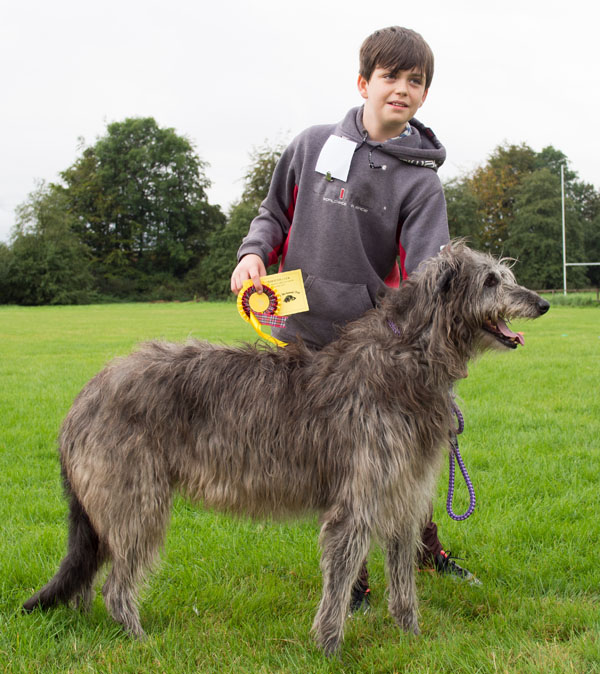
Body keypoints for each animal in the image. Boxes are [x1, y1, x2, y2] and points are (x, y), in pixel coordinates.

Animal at [22, 242, 548, 652]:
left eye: (505, 275)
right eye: (491, 280)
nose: (543, 303)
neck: (406, 359)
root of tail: (81, 400)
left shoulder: (402, 496)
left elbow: (403, 582)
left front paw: (411, 639)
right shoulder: (355, 502)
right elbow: (340, 578)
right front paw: (330, 647)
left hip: (109, 506)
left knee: (89, 577)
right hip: (137, 500)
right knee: (115, 584)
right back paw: (139, 640)